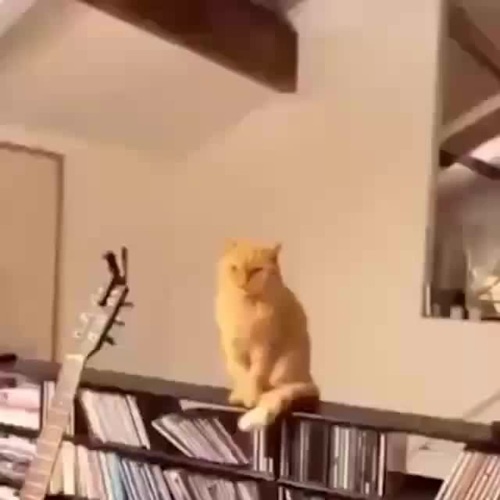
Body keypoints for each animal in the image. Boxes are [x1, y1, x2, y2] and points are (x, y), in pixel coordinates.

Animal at [215, 239, 319, 432]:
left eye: (256, 270)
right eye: (234, 268)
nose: (242, 283)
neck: (246, 307)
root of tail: (310, 381)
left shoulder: (263, 348)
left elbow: (254, 375)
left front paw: (251, 397)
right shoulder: (233, 349)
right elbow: (241, 373)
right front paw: (241, 395)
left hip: (283, 369)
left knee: (276, 388)